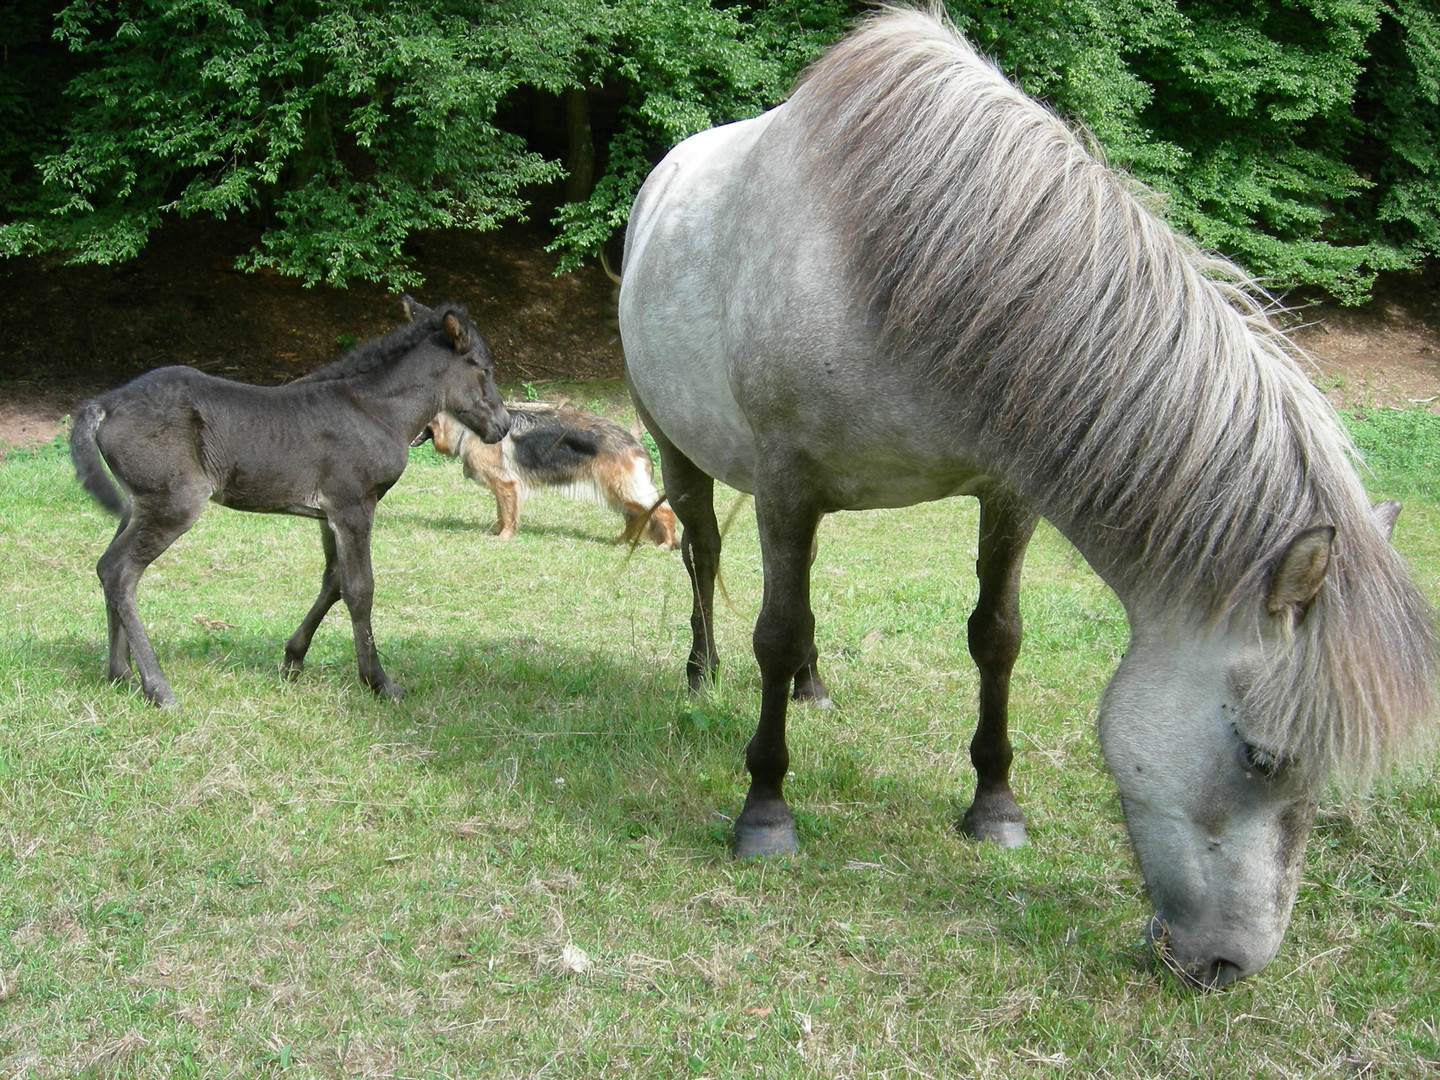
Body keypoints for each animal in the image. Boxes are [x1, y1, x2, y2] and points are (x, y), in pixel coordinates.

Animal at [74, 305, 512, 711]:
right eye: (485, 369)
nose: (504, 425)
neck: (374, 410)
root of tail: (105, 404)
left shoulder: (328, 515)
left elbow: (333, 581)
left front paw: (293, 660)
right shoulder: (353, 506)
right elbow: (360, 589)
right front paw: (378, 682)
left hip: (138, 505)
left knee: (107, 569)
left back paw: (120, 675)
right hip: (175, 503)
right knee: (119, 572)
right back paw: (158, 689)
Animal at [616, 8, 1428, 990]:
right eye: (1259, 755)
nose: (1230, 965)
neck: (891, 258)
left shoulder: (1005, 494)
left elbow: (995, 639)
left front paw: (994, 805)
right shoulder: (784, 482)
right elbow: (770, 634)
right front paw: (765, 812)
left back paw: (814, 685)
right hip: (679, 447)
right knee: (704, 553)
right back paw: (702, 672)